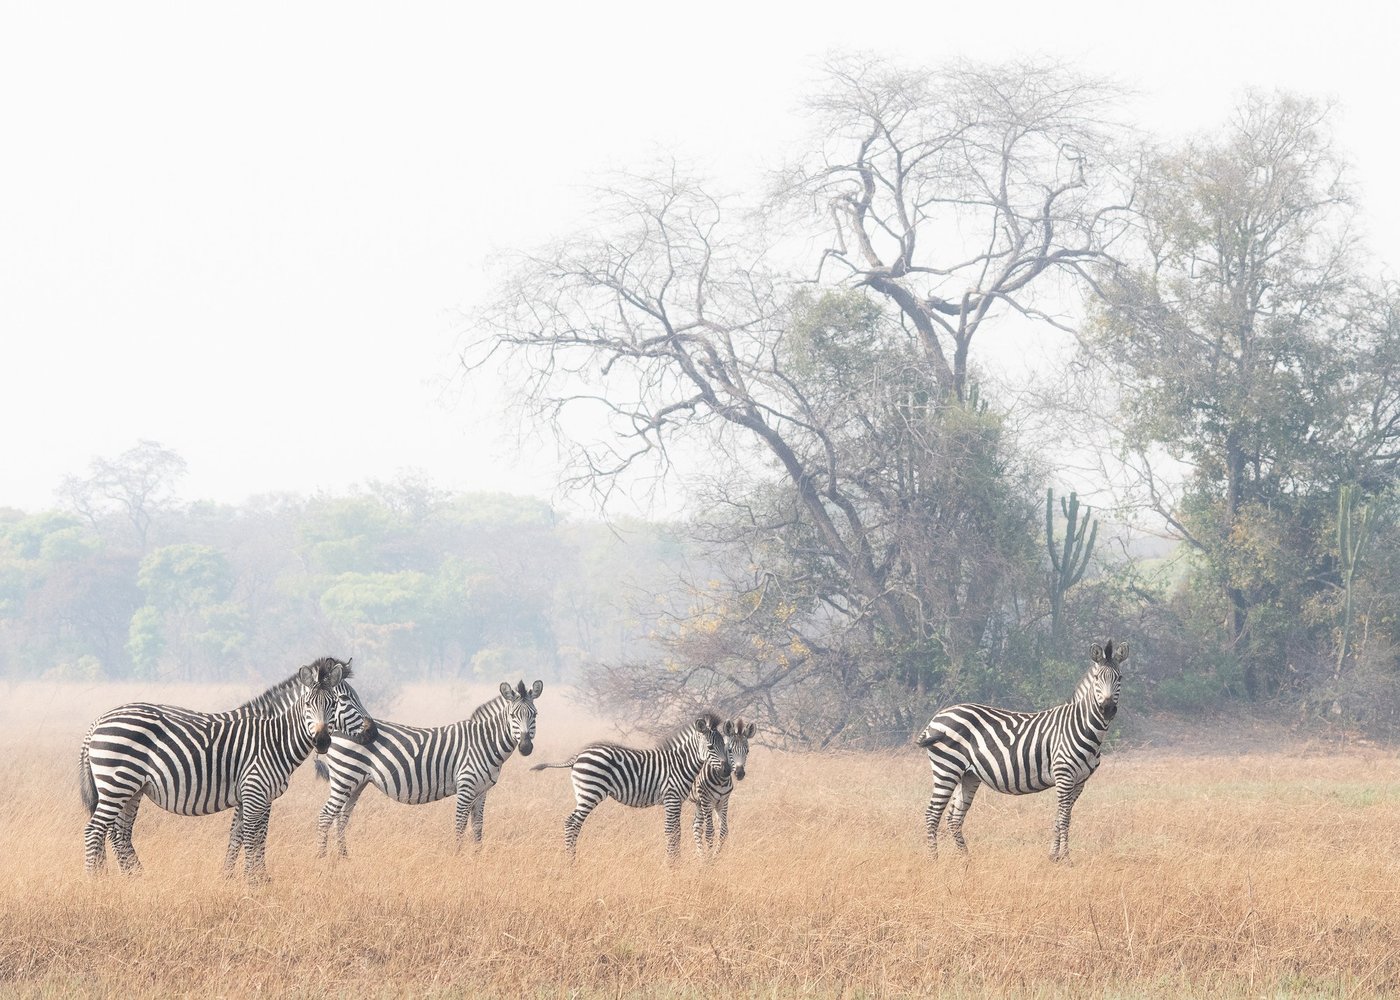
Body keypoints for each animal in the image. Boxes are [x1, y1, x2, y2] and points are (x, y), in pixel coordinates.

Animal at [78, 656, 375, 882]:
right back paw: (95, 882)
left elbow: (245, 836)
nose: (370, 731)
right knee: (95, 831)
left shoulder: (256, 797)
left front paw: (244, 877)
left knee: (119, 834)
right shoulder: (254, 792)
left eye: (334, 704)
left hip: (131, 789)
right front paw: (251, 881)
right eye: (346, 700)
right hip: (118, 784)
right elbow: (251, 837)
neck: (275, 737)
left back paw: (135, 878)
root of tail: (97, 722)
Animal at [313, 679, 543, 857]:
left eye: (535, 715)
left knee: (341, 818)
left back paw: (344, 858)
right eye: (513, 716)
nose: (526, 747)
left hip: (356, 783)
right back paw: (322, 858)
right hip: (344, 777)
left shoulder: (481, 790)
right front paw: (457, 857)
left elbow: (478, 826)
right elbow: (460, 824)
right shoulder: (466, 785)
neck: (484, 742)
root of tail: (334, 730)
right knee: (326, 816)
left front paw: (478, 857)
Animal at [531, 712, 730, 861]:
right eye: (710, 747)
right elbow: (672, 832)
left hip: (583, 794)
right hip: (590, 792)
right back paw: (571, 862)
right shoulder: (672, 798)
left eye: (726, 746)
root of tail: (579, 755)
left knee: (572, 823)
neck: (680, 763)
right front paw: (673, 864)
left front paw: (674, 862)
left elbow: (675, 831)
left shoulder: (676, 801)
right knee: (572, 823)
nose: (727, 770)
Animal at [688, 718, 755, 855]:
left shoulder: (723, 801)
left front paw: (715, 856)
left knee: (696, 827)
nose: (739, 773)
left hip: (699, 803)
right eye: (729, 750)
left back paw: (701, 856)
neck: (721, 780)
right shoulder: (706, 800)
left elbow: (724, 831)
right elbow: (709, 832)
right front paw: (710, 858)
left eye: (747, 751)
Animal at [915, 639, 1128, 862]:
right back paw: (934, 860)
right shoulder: (1064, 775)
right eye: (1097, 678)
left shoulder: (1079, 782)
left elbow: (1062, 817)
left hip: (968, 774)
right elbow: (1063, 818)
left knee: (954, 817)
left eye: (1119, 678)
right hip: (947, 768)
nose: (1107, 709)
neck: (1080, 725)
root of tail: (937, 717)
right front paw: (1066, 859)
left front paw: (1054, 856)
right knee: (932, 814)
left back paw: (966, 860)